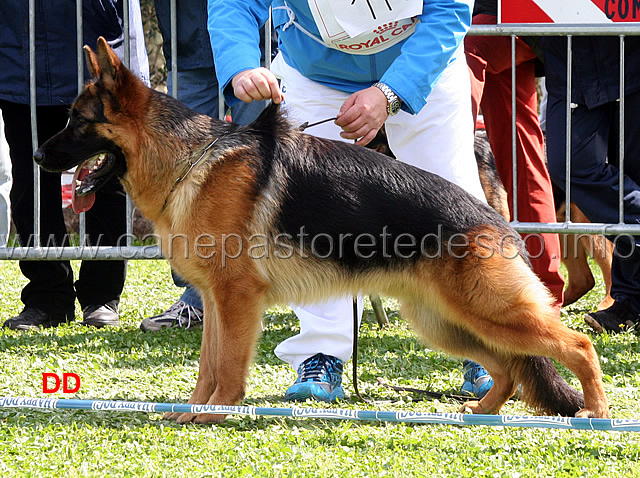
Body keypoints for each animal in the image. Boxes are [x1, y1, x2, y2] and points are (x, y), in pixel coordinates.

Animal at [35, 39, 608, 424]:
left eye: (77, 122)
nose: (39, 158)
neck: (188, 158)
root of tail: (493, 218)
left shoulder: (237, 299)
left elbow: (228, 368)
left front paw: (216, 415)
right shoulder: (217, 302)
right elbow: (208, 366)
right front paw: (193, 411)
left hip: (489, 312)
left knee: (577, 345)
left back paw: (597, 415)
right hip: (444, 321)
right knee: (509, 369)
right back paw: (482, 409)